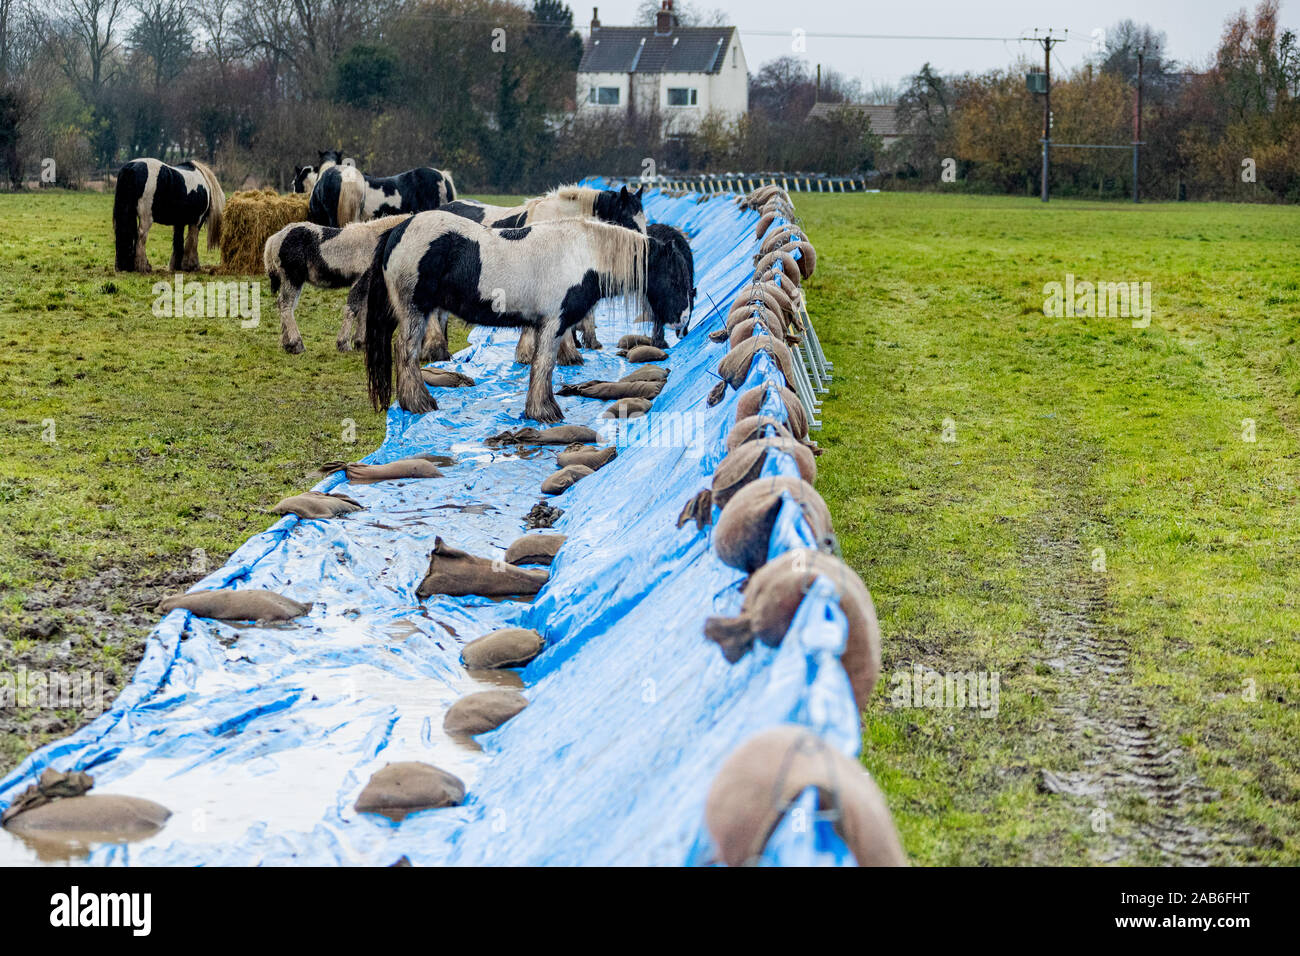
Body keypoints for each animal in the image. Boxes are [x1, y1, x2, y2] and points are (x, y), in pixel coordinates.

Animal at [261, 213, 408, 356]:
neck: (376, 241)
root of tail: (274, 239)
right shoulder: (360, 279)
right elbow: (353, 309)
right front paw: (344, 344)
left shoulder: (367, 283)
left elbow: (364, 311)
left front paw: (360, 343)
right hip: (293, 278)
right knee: (286, 305)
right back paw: (295, 344)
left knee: (284, 305)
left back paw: (287, 344)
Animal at [361, 217, 696, 426]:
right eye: (676, 279)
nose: (682, 323)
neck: (584, 254)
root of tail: (397, 230)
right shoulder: (553, 323)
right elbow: (544, 364)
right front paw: (544, 411)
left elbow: (541, 364)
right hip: (415, 311)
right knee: (406, 353)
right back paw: (419, 403)